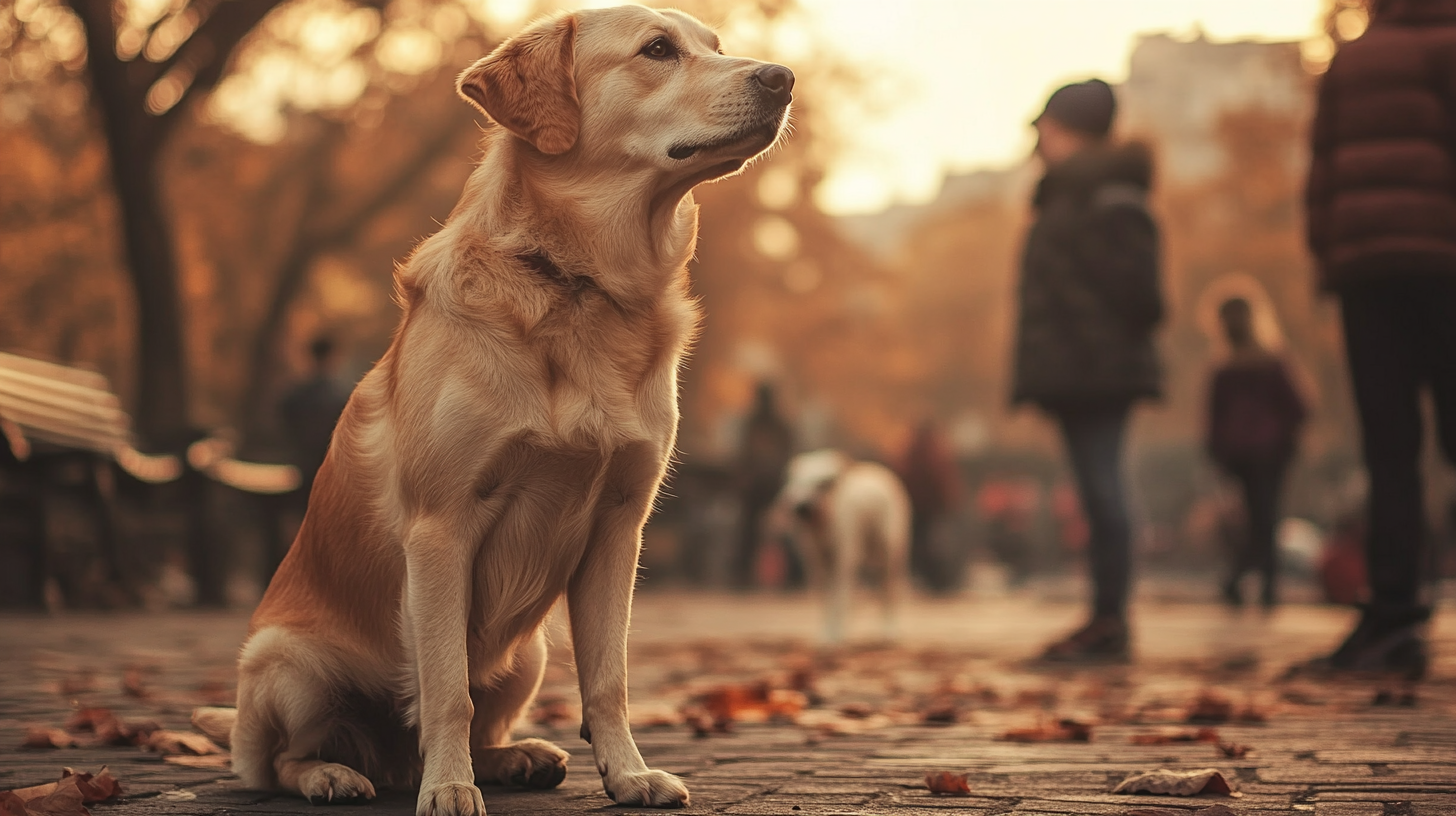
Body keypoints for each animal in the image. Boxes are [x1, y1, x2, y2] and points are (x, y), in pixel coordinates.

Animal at [225, 7, 792, 816]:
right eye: (658, 50)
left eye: (716, 45)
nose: (784, 78)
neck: (578, 280)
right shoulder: (441, 529)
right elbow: (446, 691)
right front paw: (450, 787)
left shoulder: (619, 526)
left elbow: (608, 680)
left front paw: (627, 774)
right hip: (289, 663)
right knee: (283, 759)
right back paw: (340, 775)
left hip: (530, 653)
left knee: (470, 723)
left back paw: (514, 758)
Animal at [774, 448, 908, 641]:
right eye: (795, 479)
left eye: (824, 483)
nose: (802, 507)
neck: (822, 528)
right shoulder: (814, 561)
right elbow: (826, 598)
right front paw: (825, 636)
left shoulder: (844, 554)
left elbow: (839, 596)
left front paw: (835, 637)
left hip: (890, 546)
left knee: (889, 587)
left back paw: (889, 630)